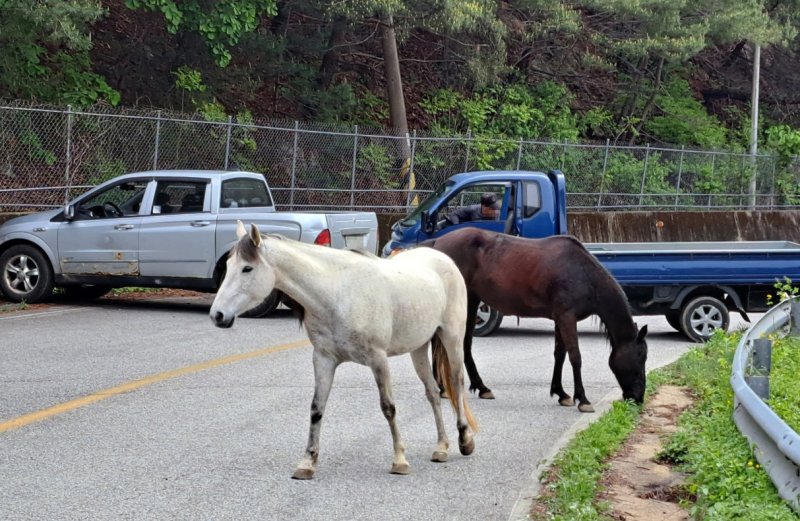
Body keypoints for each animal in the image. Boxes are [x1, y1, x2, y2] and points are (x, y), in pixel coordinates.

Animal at [209, 220, 478, 480]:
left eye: (247, 268)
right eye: (229, 264)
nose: (217, 315)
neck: (337, 294)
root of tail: (443, 258)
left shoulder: (378, 359)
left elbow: (388, 407)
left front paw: (400, 460)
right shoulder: (324, 359)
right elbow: (317, 409)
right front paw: (307, 463)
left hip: (452, 338)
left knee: (456, 383)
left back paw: (464, 440)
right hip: (419, 348)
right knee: (433, 392)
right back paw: (441, 447)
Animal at [428, 228, 648, 410]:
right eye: (641, 358)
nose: (638, 397)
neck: (583, 273)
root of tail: (438, 243)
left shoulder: (561, 319)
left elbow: (560, 354)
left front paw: (561, 393)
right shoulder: (567, 318)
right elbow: (575, 357)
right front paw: (582, 399)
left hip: (471, 300)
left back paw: (474, 387)